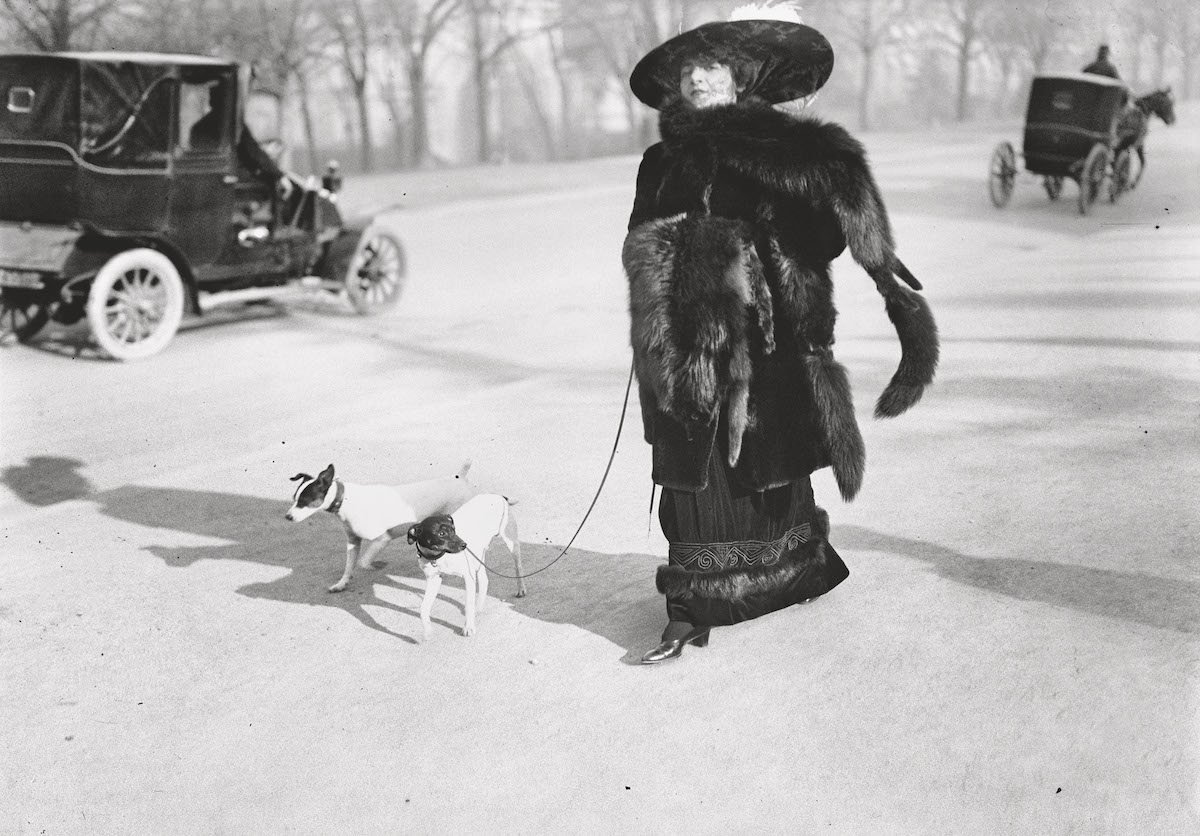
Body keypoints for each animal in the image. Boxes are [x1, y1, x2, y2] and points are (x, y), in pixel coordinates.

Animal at [285, 460, 477, 590]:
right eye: (294, 499)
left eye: (304, 501)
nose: (287, 517)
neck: (345, 499)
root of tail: (460, 476)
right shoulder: (353, 542)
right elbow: (348, 566)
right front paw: (341, 584)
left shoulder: (382, 539)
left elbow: (363, 562)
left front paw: (376, 565)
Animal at [408, 496, 525, 638]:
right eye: (441, 533)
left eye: (454, 530)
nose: (464, 545)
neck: (438, 557)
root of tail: (497, 496)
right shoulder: (433, 580)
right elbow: (423, 608)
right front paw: (428, 630)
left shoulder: (468, 577)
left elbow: (469, 604)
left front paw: (468, 627)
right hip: (479, 555)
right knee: (484, 580)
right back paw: (478, 608)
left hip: (511, 542)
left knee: (518, 566)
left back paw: (521, 589)